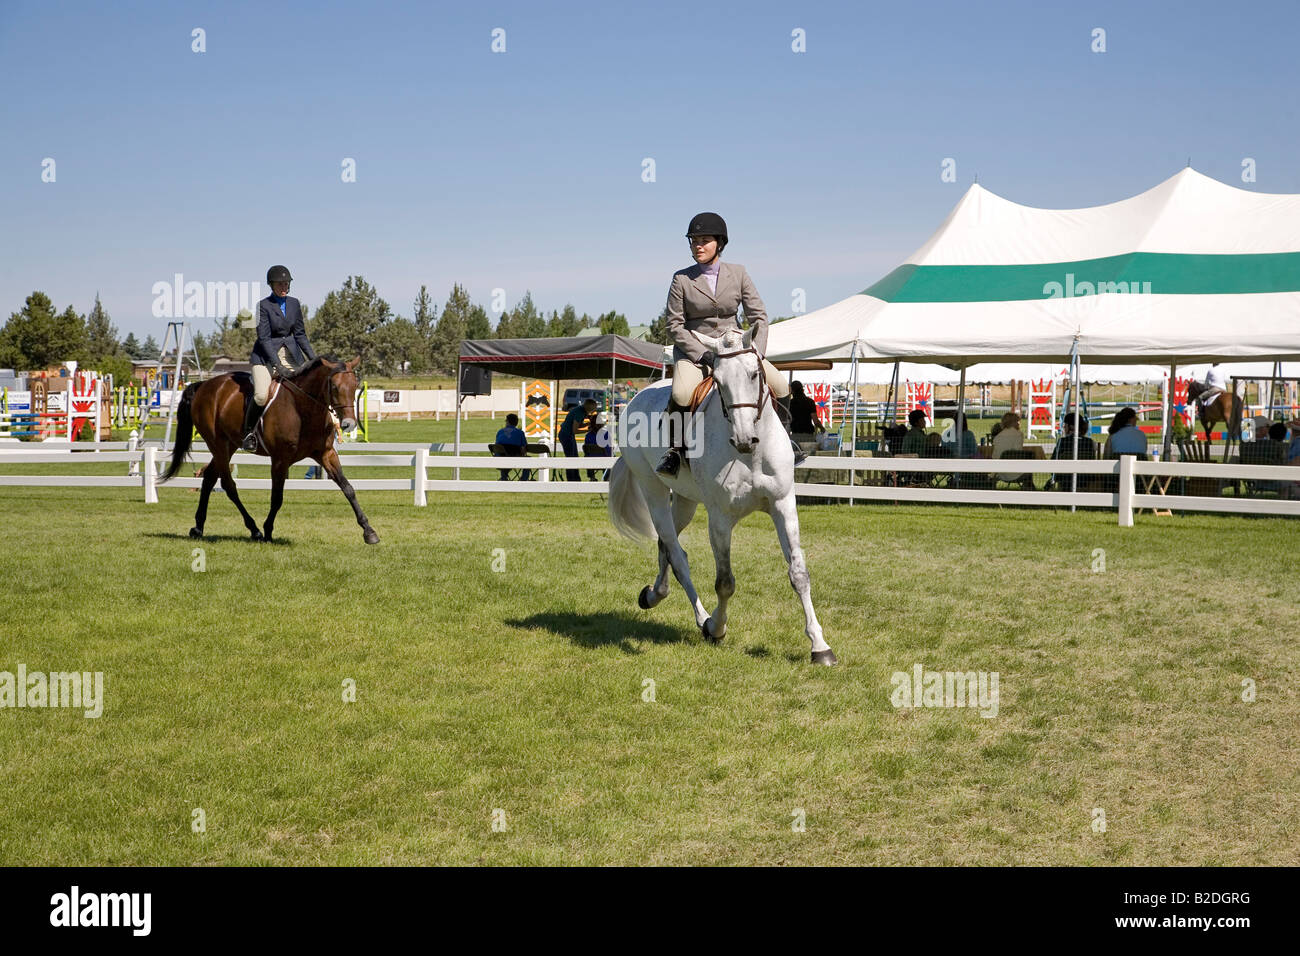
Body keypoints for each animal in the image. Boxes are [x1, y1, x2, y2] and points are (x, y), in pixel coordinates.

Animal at [159, 356, 379, 546]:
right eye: (334, 387)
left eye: (355, 385)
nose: (349, 424)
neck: (303, 409)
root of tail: (204, 385)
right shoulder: (280, 460)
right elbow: (277, 498)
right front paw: (268, 531)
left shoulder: (325, 454)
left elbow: (347, 488)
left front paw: (369, 532)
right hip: (217, 444)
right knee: (228, 485)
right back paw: (254, 529)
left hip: (228, 445)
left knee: (209, 478)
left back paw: (198, 527)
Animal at [605, 329, 837, 665]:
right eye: (719, 380)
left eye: (755, 374)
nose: (743, 439)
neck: (751, 455)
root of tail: (637, 396)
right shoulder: (720, 518)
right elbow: (725, 582)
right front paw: (716, 628)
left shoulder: (783, 505)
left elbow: (799, 573)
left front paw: (820, 646)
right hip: (654, 491)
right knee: (677, 553)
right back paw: (701, 618)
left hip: (685, 500)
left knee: (666, 545)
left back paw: (654, 595)